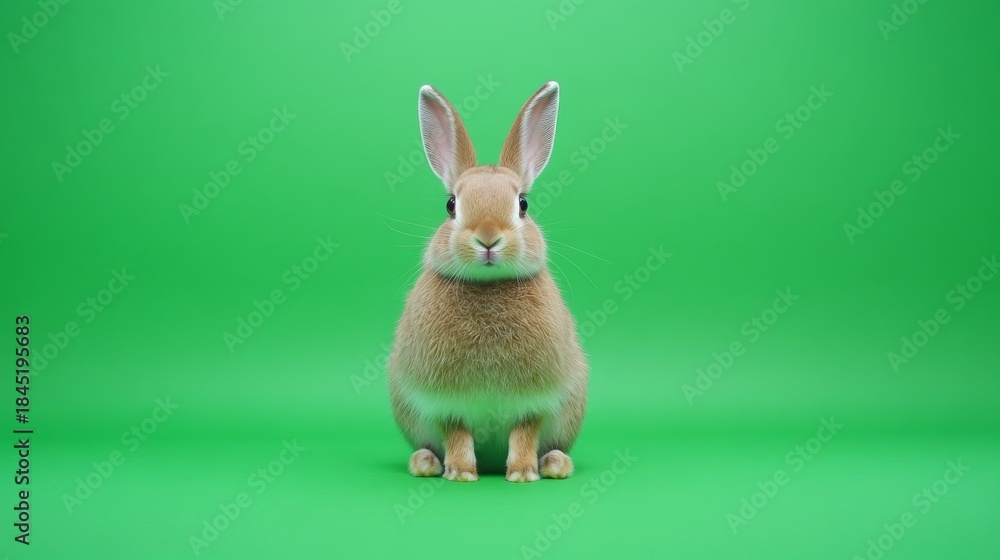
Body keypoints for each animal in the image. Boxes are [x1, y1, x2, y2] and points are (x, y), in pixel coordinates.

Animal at [388, 81, 588, 483]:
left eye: (523, 204)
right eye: (451, 205)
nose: (488, 237)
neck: (488, 287)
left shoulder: (536, 402)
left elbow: (525, 433)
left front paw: (523, 474)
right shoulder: (445, 404)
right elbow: (456, 433)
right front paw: (461, 473)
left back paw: (555, 465)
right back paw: (425, 463)